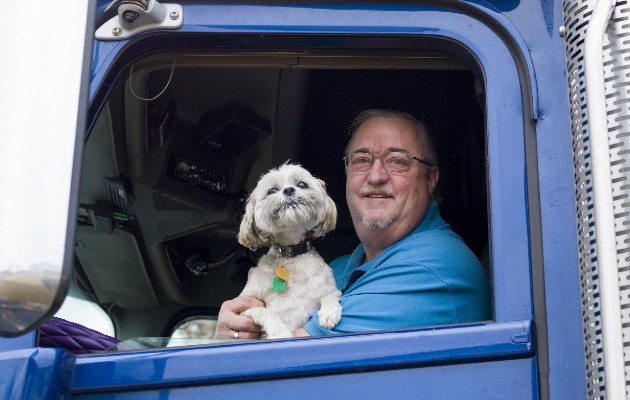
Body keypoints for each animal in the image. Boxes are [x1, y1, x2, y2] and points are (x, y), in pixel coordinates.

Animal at [237, 162, 344, 338]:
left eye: (302, 184)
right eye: (272, 190)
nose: (288, 190)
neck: (292, 254)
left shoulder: (329, 288)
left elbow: (330, 295)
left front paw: (329, 313)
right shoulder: (244, 307)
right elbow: (265, 312)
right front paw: (281, 333)